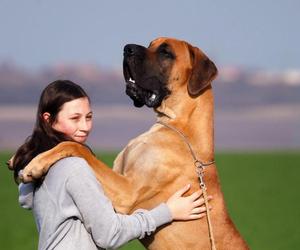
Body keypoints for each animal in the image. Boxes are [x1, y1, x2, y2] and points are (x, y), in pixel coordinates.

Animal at [19, 37, 248, 250]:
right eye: (151, 43)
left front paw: (34, 165)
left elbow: (76, 147)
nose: (127, 48)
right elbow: (83, 150)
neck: (177, 126)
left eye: (166, 52)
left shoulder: (127, 193)